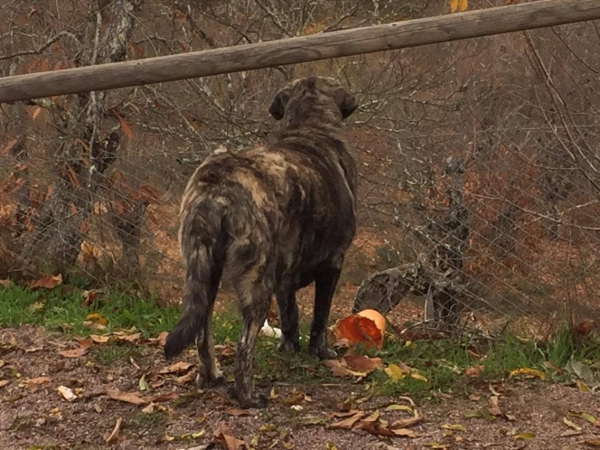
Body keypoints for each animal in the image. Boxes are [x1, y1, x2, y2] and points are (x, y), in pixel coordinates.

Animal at [164, 76, 358, 408]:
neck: (310, 127)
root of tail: (217, 184)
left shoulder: (285, 277)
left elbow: (290, 316)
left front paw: (289, 348)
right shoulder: (332, 264)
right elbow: (320, 317)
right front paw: (321, 352)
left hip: (204, 271)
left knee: (202, 330)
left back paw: (210, 375)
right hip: (258, 281)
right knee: (243, 345)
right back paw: (248, 396)